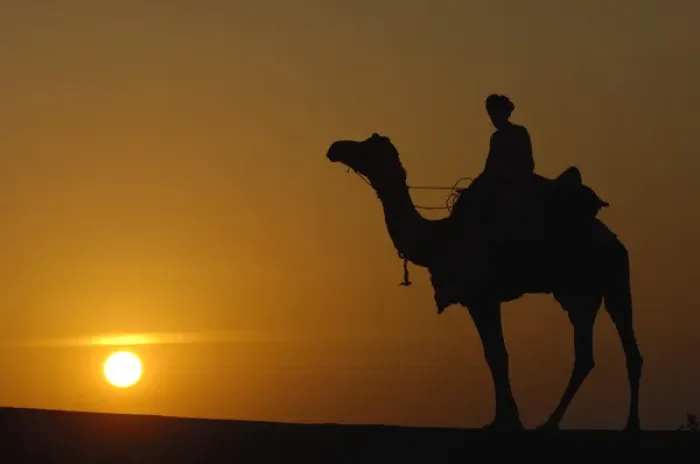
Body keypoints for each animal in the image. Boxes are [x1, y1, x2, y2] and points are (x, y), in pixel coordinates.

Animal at [326, 133, 643, 432]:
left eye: (366, 147)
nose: (335, 147)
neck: (438, 239)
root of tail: (614, 240)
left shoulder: (482, 297)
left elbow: (497, 355)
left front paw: (508, 421)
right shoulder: (480, 299)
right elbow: (494, 356)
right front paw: (502, 419)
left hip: (612, 281)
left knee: (627, 350)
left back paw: (628, 424)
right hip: (580, 292)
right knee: (587, 354)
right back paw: (553, 423)